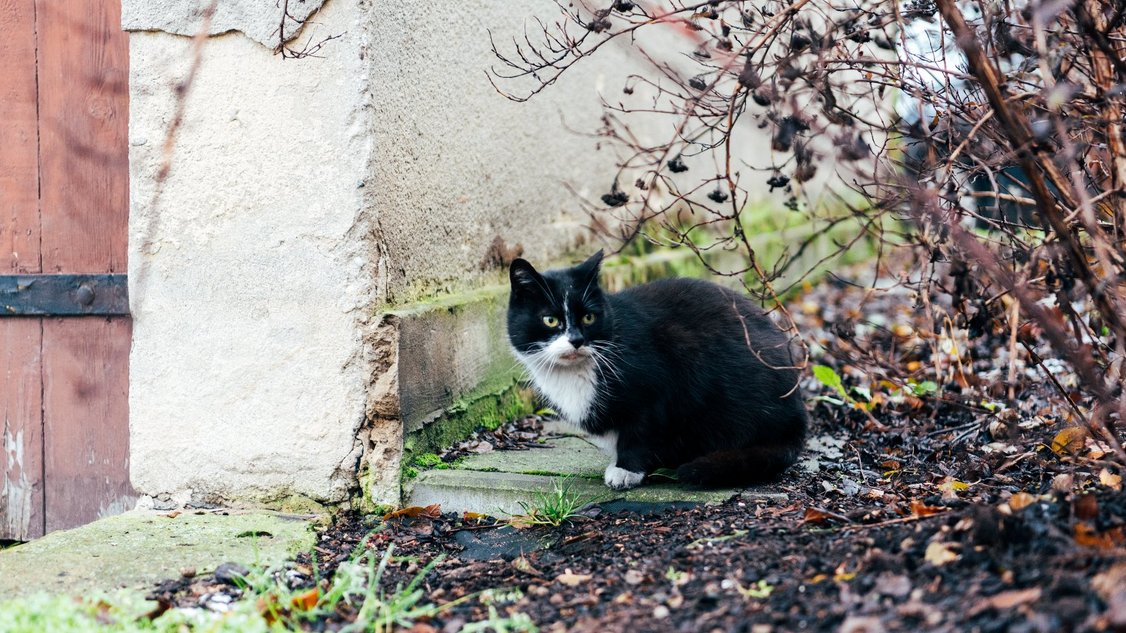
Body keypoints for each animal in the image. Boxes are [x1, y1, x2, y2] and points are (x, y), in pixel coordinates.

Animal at [508, 248, 810, 491]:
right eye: (550, 320)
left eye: (589, 317)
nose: (576, 340)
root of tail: (797, 423)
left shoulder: (654, 388)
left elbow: (641, 431)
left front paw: (626, 469)